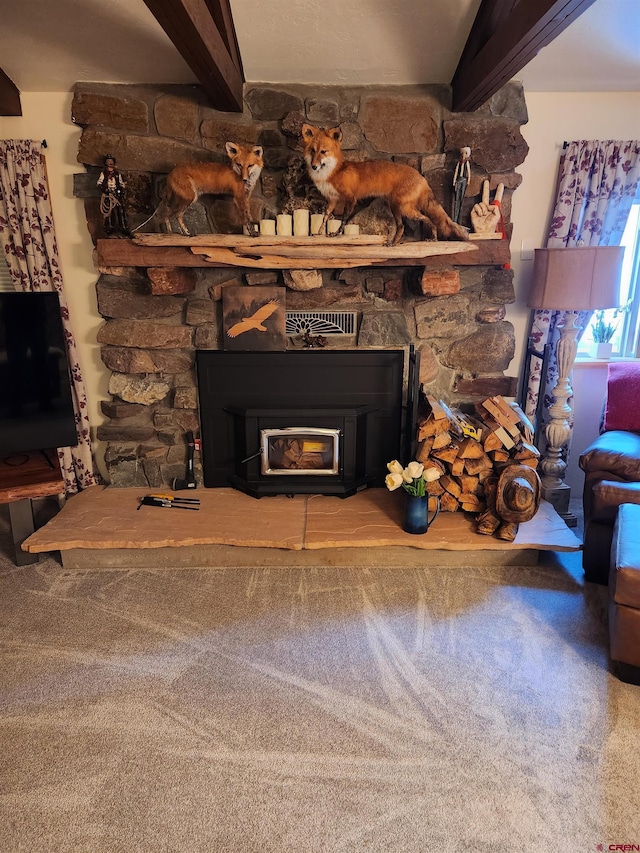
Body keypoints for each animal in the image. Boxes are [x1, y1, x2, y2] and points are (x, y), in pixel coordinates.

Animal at [302, 123, 468, 245]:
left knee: (403, 225)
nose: (314, 166)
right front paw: (319, 232)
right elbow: (324, 217)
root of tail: (421, 177)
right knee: (429, 220)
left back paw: (394, 243)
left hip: (398, 206)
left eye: (323, 151)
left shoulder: (350, 198)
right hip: (405, 208)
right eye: (312, 150)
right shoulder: (332, 200)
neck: (332, 173)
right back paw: (433, 238)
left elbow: (343, 220)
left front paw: (336, 234)